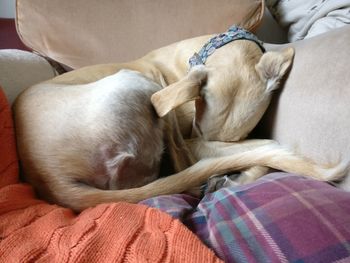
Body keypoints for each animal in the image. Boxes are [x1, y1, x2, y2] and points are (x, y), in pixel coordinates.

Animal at [14, 26, 348, 212]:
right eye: (198, 124)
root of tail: (52, 179)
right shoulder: (194, 139)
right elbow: (262, 146)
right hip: (138, 84)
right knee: (188, 164)